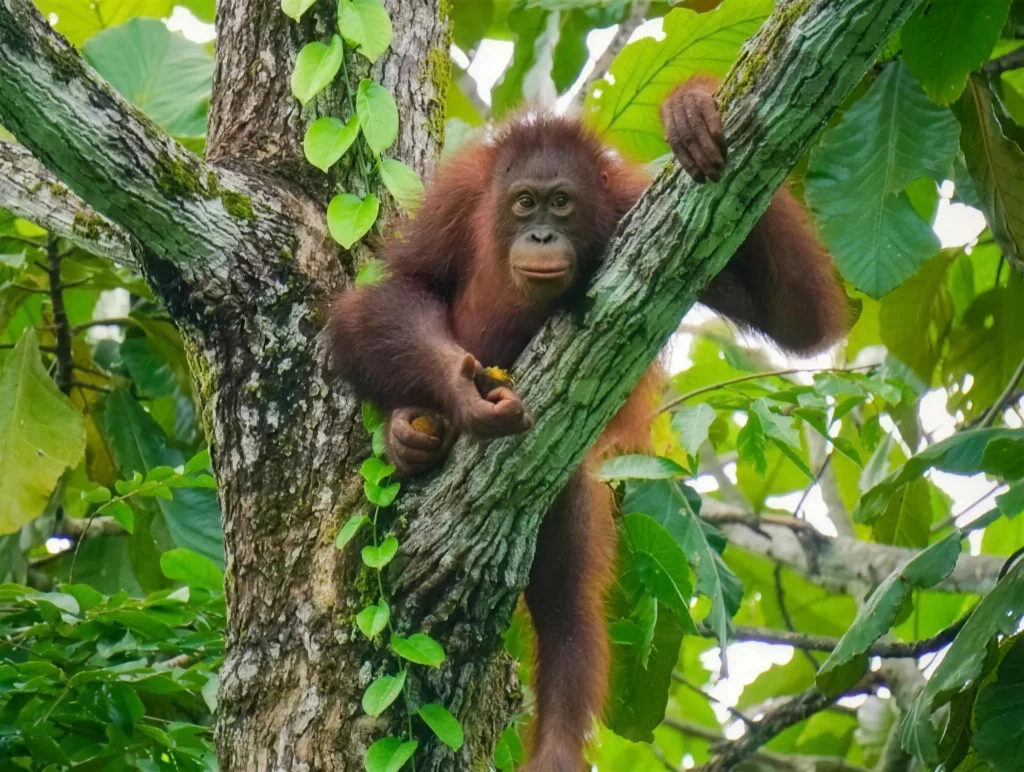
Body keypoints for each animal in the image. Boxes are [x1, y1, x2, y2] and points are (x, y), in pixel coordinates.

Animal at [328, 74, 847, 771]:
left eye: (562, 205)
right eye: (524, 204)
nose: (543, 236)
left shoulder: (628, 207)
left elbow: (799, 320)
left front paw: (693, 107)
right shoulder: (456, 202)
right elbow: (392, 293)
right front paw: (457, 396)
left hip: (561, 481)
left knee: (565, 602)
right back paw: (412, 435)